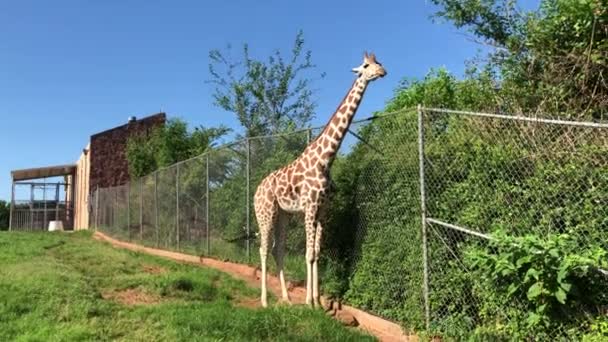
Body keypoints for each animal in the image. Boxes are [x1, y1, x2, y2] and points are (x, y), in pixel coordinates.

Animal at [254, 51, 388, 308]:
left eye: (379, 63)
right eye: (366, 66)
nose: (382, 73)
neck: (326, 159)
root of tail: (256, 190)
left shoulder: (323, 208)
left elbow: (316, 253)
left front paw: (317, 301)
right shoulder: (310, 206)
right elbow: (308, 254)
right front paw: (309, 302)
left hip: (283, 214)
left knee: (278, 250)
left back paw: (286, 298)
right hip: (265, 212)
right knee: (263, 250)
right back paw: (265, 301)